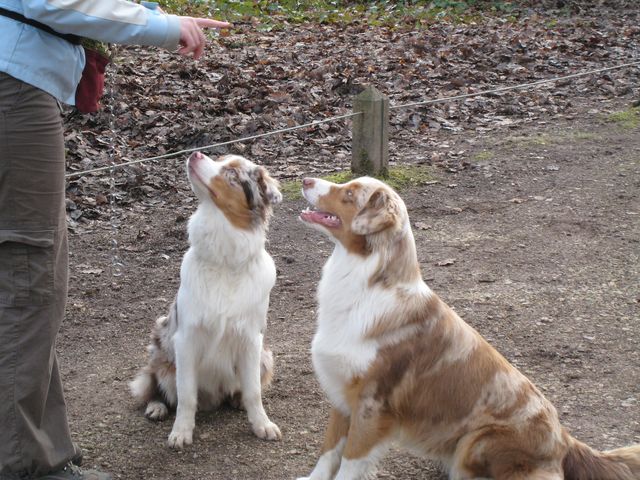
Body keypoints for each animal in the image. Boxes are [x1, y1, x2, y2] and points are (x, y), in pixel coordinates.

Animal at [129, 152, 282, 448]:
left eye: (232, 174)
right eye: (220, 157)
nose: (195, 153)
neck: (225, 261)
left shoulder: (251, 340)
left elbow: (254, 392)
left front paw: (262, 424)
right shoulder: (186, 339)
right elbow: (186, 395)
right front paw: (181, 431)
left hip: (265, 356)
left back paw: (236, 401)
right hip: (161, 349)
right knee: (155, 387)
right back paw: (157, 407)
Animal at [298, 174, 636, 478]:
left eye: (349, 194)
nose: (305, 179)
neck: (366, 282)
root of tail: (565, 442)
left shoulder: (372, 405)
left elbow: (349, 463)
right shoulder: (342, 395)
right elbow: (328, 451)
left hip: (476, 441)